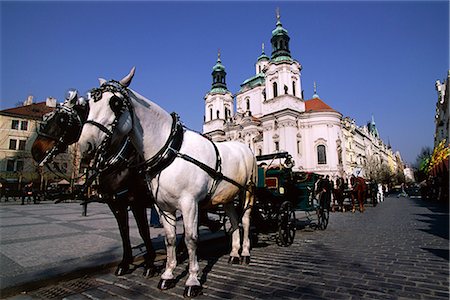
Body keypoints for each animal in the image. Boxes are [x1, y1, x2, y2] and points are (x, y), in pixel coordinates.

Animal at [77, 68, 256, 298]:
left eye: (115, 103)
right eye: (89, 104)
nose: (85, 145)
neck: (170, 150)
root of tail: (243, 146)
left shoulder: (188, 204)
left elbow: (191, 239)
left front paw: (192, 280)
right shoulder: (161, 207)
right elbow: (168, 238)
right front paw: (167, 275)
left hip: (247, 192)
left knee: (245, 220)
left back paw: (245, 253)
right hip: (226, 196)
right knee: (234, 221)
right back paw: (233, 253)